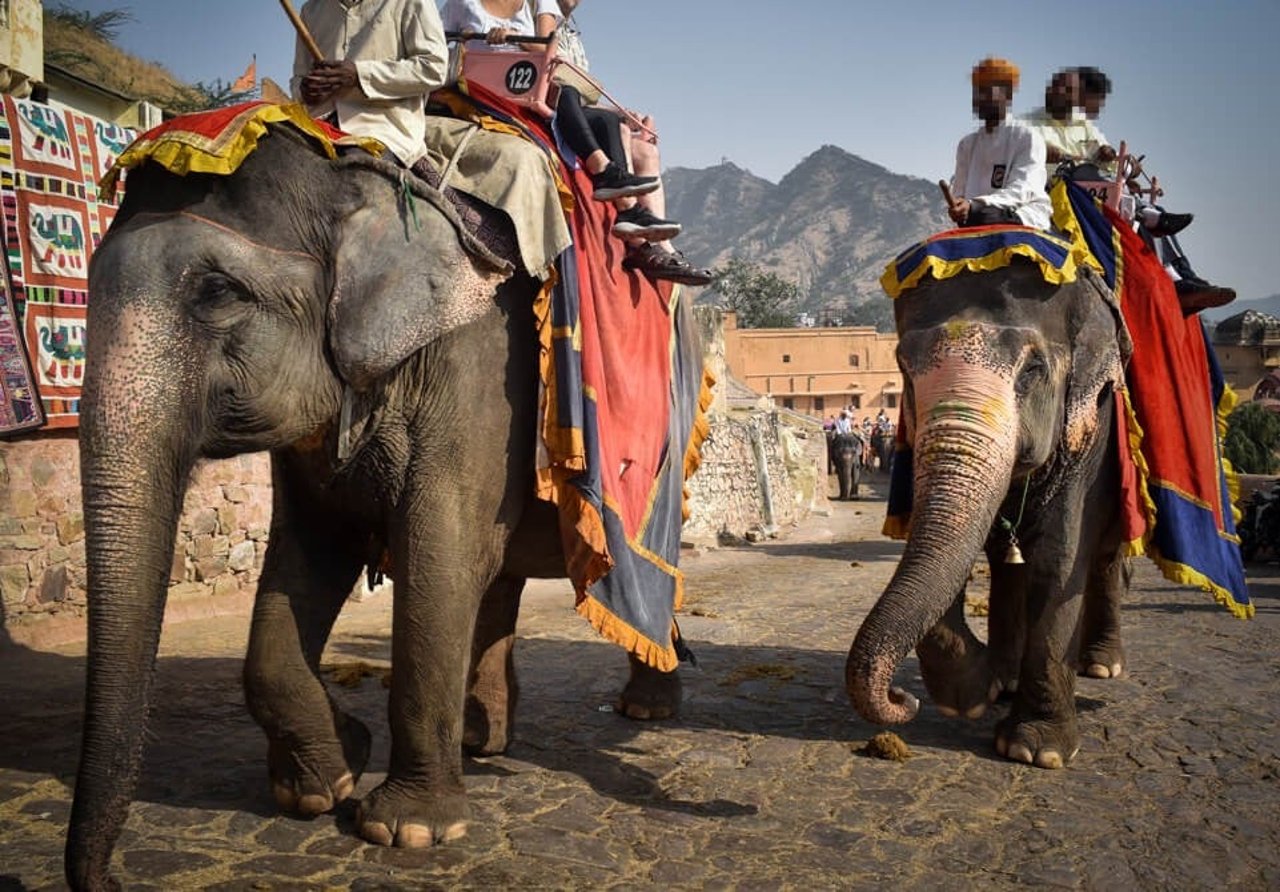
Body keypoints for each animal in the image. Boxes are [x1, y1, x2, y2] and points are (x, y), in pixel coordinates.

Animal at [64, 121, 696, 885]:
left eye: (217, 292)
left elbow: (438, 552)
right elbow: (310, 556)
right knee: (498, 577)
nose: (111, 879)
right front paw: (325, 779)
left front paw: (405, 831)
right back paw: (484, 740)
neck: (353, 178)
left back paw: (643, 710)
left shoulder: (481, 362)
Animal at [849, 261, 1131, 767]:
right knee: (1007, 564)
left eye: (1033, 370)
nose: (902, 696)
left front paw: (1036, 752)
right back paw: (1008, 678)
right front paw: (973, 696)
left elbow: (1059, 555)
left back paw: (1100, 665)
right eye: (904, 368)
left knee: (1104, 557)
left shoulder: (1090, 427)